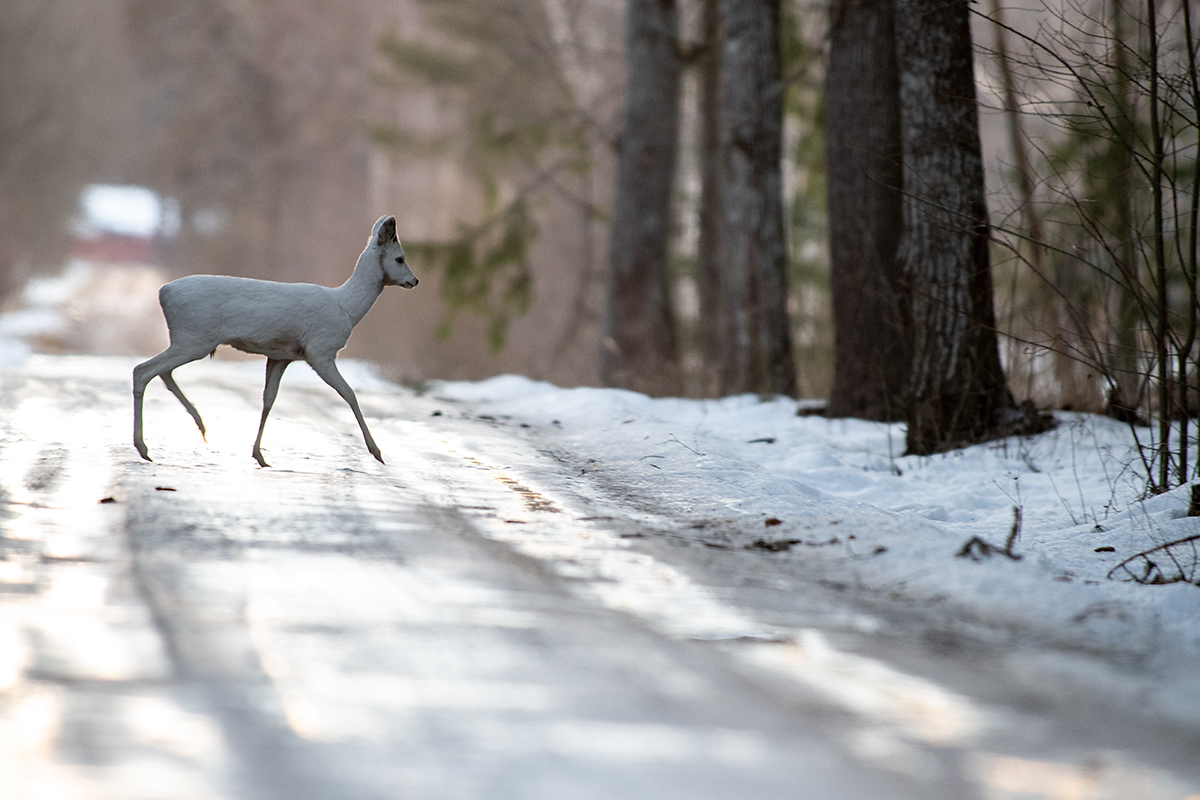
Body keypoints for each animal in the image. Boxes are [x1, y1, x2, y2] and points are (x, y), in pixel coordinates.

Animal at [132, 217, 417, 470]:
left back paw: (199, 426)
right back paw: (145, 447)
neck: (346, 308)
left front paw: (259, 455)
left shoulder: (281, 356)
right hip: (194, 337)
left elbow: (269, 399)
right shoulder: (320, 350)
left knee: (162, 372)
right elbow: (349, 394)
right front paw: (377, 452)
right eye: (399, 258)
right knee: (143, 370)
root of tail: (163, 292)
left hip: (189, 340)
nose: (414, 281)